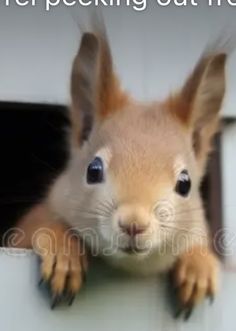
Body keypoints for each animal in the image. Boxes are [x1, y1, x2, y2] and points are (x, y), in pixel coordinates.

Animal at [11, 12, 230, 320]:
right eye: (93, 170)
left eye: (185, 183)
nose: (134, 224)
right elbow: (40, 228)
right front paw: (64, 253)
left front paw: (198, 266)